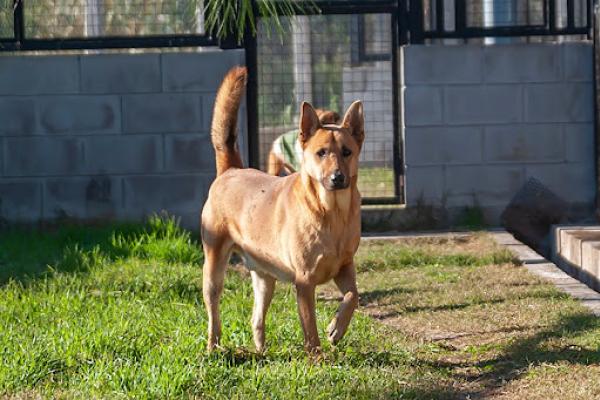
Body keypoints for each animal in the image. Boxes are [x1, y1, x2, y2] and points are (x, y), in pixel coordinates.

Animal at [199, 66, 364, 354]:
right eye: (322, 152)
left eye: (347, 152)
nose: (337, 178)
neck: (331, 213)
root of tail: (231, 169)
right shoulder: (304, 282)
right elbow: (310, 329)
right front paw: (317, 357)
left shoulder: (345, 267)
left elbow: (353, 296)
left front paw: (336, 328)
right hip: (214, 269)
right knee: (213, 313)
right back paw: (212, 348)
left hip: (265, 279)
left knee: (256, 318)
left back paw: (261, 351)